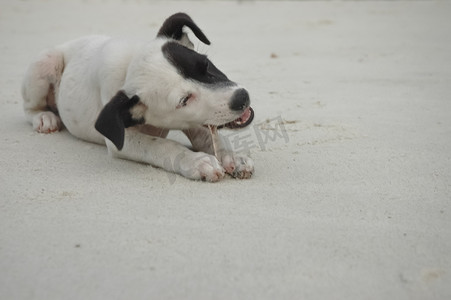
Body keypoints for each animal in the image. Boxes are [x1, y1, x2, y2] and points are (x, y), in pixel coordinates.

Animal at [22, 12, 254, 182]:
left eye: (205, 65)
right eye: (184, 100)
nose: (241, 97)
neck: (129, 64)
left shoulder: (196, 120)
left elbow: (211, 137)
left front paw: (232, 157)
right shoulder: (122, 141)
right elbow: (161, 146)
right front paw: (196, 162)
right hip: (46, 62)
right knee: (29, 108)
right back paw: (44, 118)